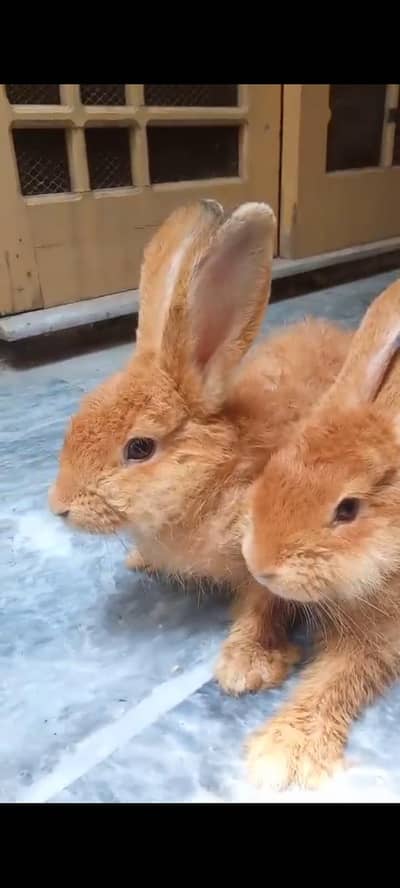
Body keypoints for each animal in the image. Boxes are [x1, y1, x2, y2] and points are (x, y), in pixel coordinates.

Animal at [49, 199, 351, 698]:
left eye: (139, 448)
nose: (59, 507)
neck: (218, 474)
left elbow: (263, 605)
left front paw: (244, 668)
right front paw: (139, 560)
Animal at [242, 277, 400, 791]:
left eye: (347, 509)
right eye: (277, 464)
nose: (261, 563)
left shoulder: (379, 636)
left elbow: (336, 679)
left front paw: (281, 754)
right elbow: (261, 606)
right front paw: (244, 665)